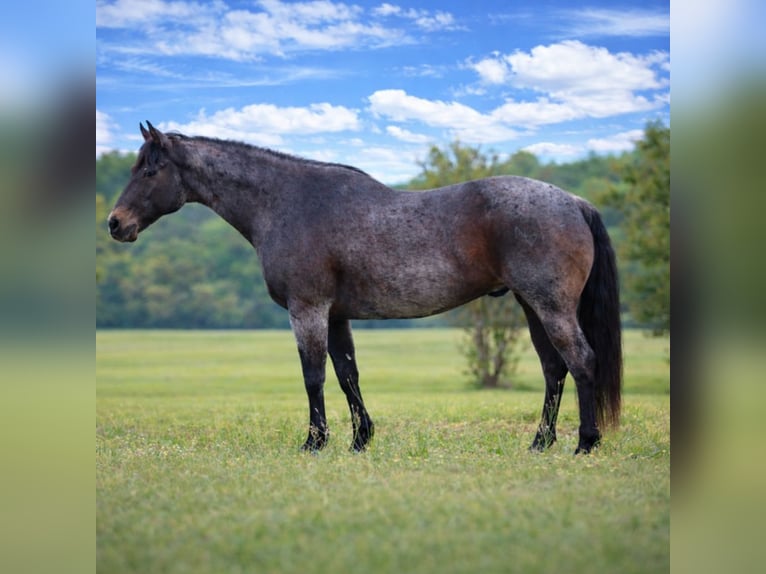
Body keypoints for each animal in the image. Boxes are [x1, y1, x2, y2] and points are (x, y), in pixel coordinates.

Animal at [108, 122, 622, 455]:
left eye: (150, 171)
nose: (116, 224)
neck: (285, 203)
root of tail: (573, 201)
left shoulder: (308, 308)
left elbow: (313, 375)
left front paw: (314, 443)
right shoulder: (336, 314)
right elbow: (346, 374)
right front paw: (360, 440)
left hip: (550, 306)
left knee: (581, 362)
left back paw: (585, 443)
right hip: (532, 306)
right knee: (554, 369)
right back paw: (540, 442)